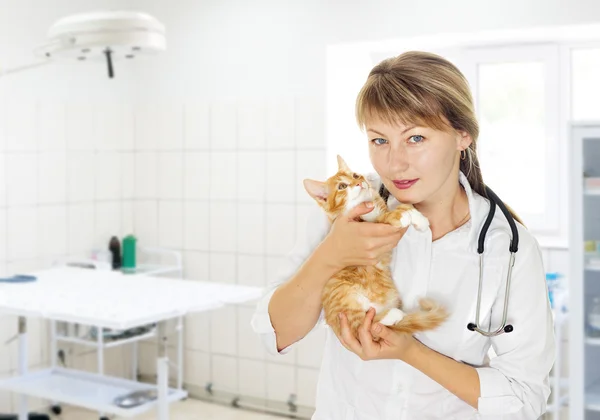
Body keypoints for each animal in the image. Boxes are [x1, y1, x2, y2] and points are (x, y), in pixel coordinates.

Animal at [302, 156, 448, 342]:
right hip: (345, 296)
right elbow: (389, 215)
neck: (369, 206)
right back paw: (392, 315)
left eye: (355, 175)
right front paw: (401, 216)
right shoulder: (367, 224)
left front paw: (419, 220)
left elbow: (405, 206)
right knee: (362, 326)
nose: (359, 183)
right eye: (342, 186)